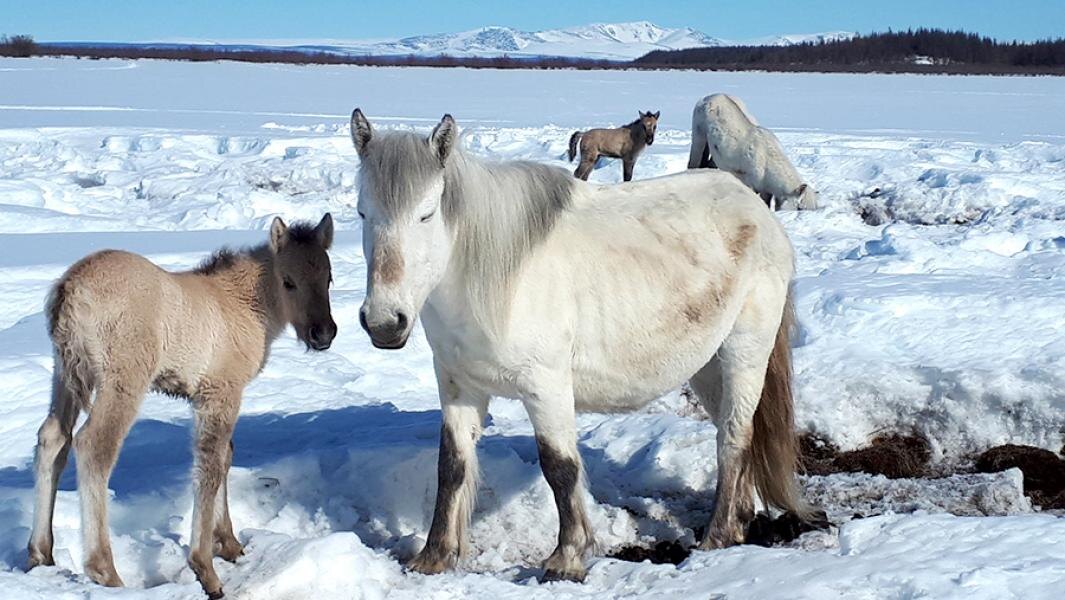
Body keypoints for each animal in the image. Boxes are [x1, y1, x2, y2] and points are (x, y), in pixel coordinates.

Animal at [27, 216, 334, 600]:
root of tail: (69, 291)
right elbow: (210, 466)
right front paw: (206, 569)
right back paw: (105, 570)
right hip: (122, 379)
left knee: (53, 438)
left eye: (328, 277)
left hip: (65, 373)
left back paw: (40, 552)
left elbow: (225, 456)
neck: (251, 308)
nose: (323, 334)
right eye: (288, 281)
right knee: (94, 446)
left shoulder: (205, 396)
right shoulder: (220, 390)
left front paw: (229, 543)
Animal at [349, 109, 805, 584]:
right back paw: (739, 521)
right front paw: (434, 556)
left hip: (743, 351)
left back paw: (717, 535)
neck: (494, 276)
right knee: (733, 432)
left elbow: (559, 467)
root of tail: (756, 208)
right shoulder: (459, 385)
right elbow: (451, 465)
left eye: (426, 214)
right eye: (362, 212)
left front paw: (566, 558)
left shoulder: (545, 384)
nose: (384, 322)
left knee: (735, 434)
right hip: (706, 365)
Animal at [685, 93, 817, 211]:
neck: (767, 164)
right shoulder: (749, 181)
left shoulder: (766, 189)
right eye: (800, 207)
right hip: (699, 133)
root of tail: (708, 97)